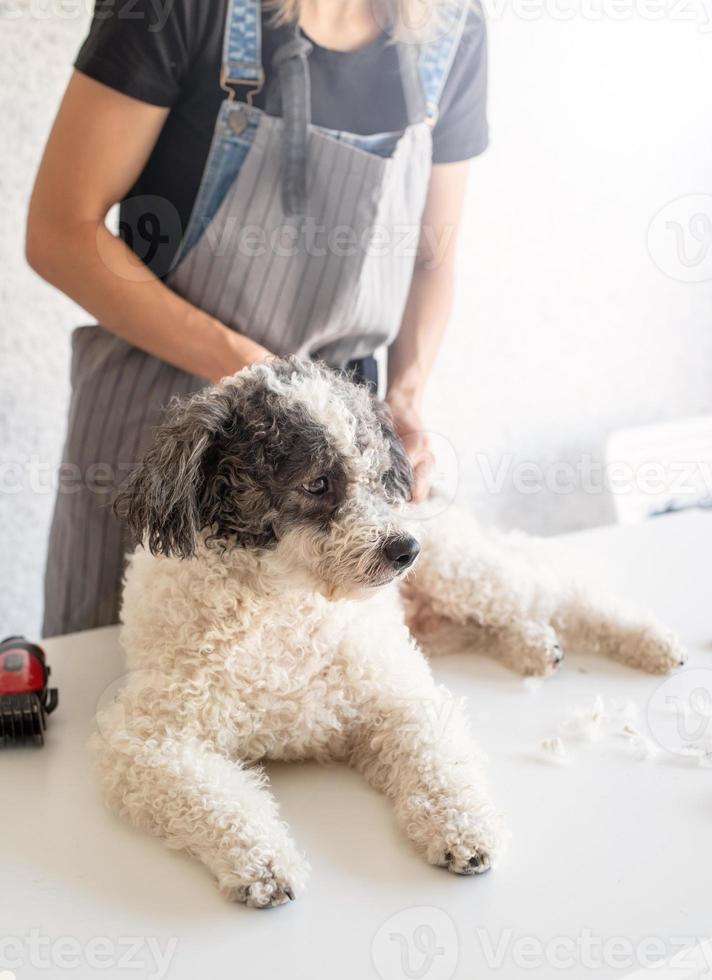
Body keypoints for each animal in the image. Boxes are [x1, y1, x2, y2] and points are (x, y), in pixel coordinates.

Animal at [93, 356, 684, 908]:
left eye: (378, 479)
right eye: (317, 482)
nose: (405, 549)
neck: (283, 606)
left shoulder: (400, 698)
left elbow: (439, 767)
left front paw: (464, 829)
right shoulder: (151, 742)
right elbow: (215, 803)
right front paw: (263, 864)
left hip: (464, 574)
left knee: (560, 591)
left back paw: (648, 642)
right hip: (440, 621)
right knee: (492, 624)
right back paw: (534, 646)